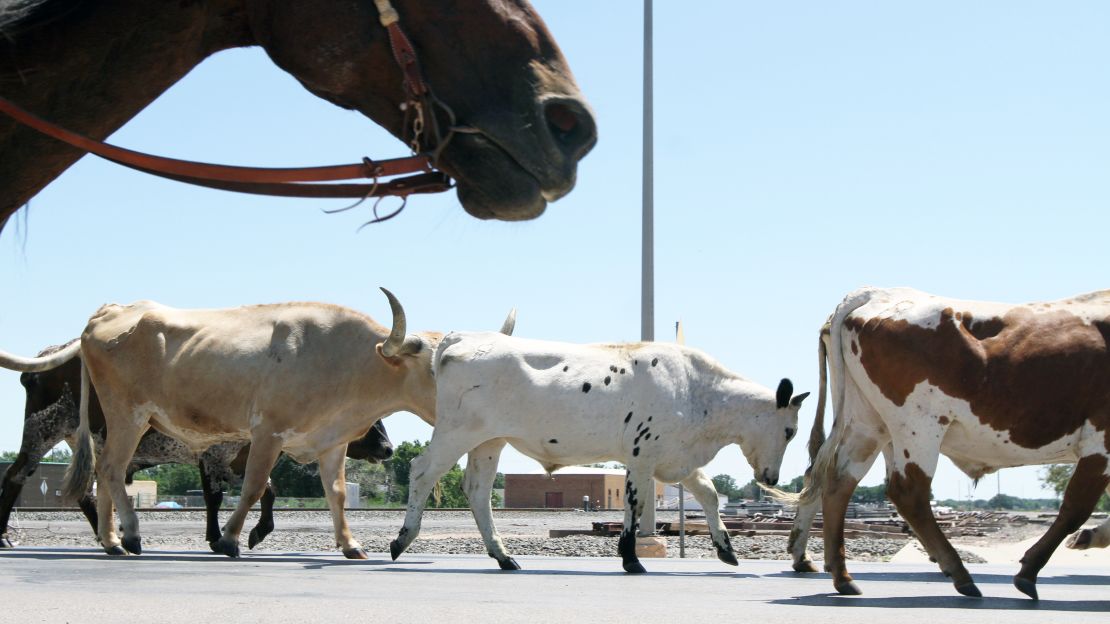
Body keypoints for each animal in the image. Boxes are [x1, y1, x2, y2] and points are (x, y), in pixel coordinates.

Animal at [390, 333, 808, 572]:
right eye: (790, 430)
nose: (771, 478)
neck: (697, 391)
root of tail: (461, 338)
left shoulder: (675, 458)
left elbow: (708, 494)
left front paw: (726, 549)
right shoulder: (642, 455)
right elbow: (636, 504)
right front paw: (631, 557)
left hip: (489, 441)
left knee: (477, 490)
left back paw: (504, 556)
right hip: (456, 432)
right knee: (423, 471)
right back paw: (402, 540)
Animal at [781, 286, 1110, 599]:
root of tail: (876, 293)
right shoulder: (1100, 442)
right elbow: (1075, 509)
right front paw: (1031, 569)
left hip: (868, 424)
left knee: (836, 481)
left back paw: (841, 575)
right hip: (918, 426)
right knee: (908, 492)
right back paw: (958, 572)